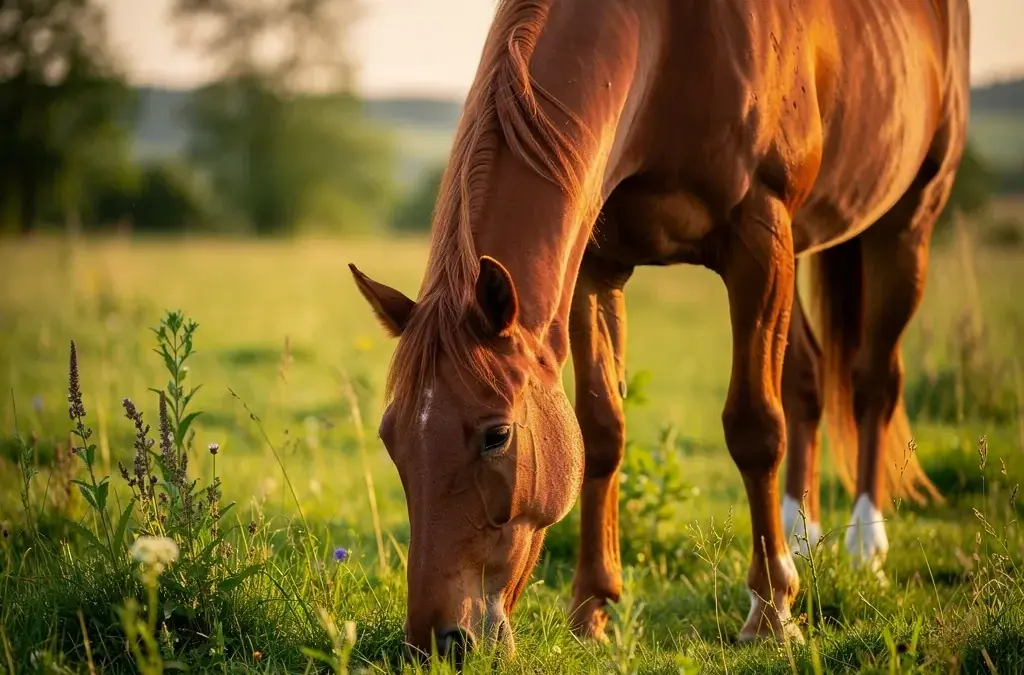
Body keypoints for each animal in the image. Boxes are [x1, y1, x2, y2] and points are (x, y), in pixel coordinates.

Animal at [349, 0, 970, 659]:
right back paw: (801, 541)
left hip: (906, 223)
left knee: (873, 380)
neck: (667, 39)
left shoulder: (758, 240)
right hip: (802, 245)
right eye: (391, 438)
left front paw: (771, 613)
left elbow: (754, 426)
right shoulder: (596, 267)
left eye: (496, 436)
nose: (437, 643)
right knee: (806, 380)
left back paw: (864, 546)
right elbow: (601, 431)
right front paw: (589, 611)